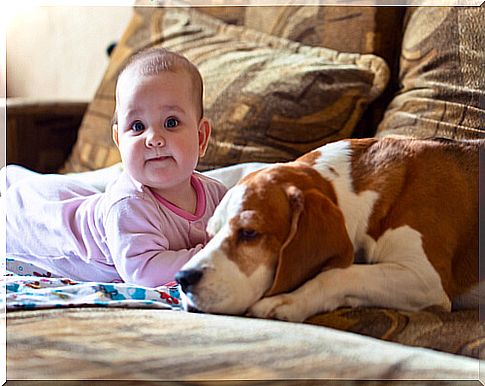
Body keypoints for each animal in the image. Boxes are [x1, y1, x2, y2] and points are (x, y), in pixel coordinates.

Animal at [174, 137, 480, 322]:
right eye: (211, 234)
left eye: (249, 233)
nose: (182, 279)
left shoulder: (425, 279)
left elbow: (340, 274)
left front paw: (289, 300)